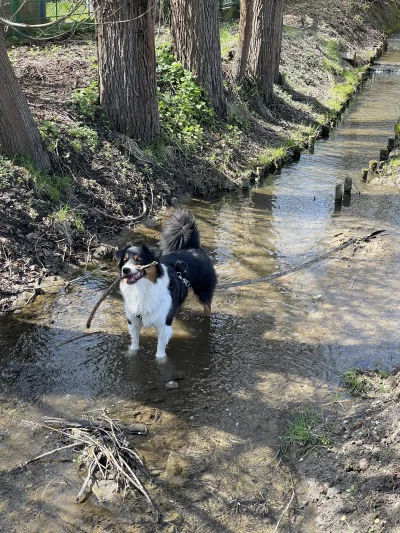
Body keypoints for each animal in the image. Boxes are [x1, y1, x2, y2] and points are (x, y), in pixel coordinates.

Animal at [117, 208, 217, 358]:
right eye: (124, 260)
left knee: (208, 309)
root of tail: (194, 247)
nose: (125, 270)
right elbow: (134, 345)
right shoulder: (133, 322)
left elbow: (160, 354)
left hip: (203, 294)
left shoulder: (164, 325)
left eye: (139, 260)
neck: (142, 288)